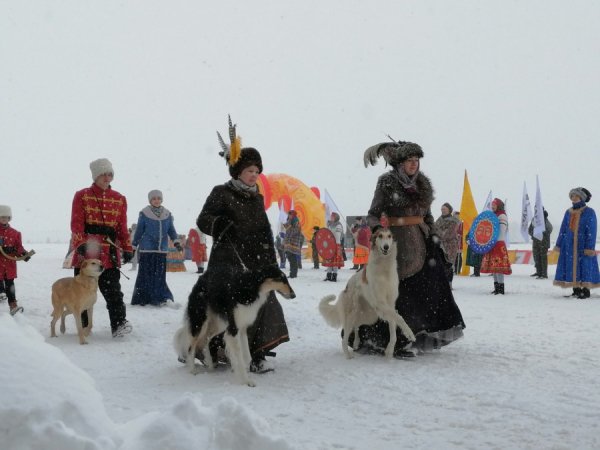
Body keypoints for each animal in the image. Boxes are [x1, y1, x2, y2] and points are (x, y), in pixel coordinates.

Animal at [322, 229, 414, 358]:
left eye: (389, 236)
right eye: (380, 236)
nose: (386, 247)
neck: (384, 268)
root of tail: (346, 287)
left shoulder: (390, 303)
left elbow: (393, 325)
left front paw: (389, 351)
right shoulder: (380, 302)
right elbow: (399, 318)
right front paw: (410, 333)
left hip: (369, 315)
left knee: (356, 326)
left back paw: (356, 343)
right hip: (353, 313)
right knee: (344, 338)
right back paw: (348, 355)